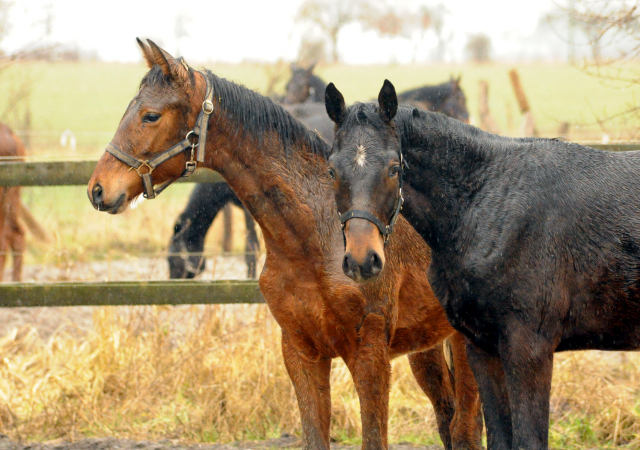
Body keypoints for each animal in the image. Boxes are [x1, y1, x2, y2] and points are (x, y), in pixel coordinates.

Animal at [87, 39, 482, 450]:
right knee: (447, 418)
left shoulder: (369, 357)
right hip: (426, 347)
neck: (314, 237)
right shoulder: (300, 353)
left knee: (466, 427)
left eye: (150, 115)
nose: (98, 189)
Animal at [328, 79, 640, 448]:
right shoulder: (482, 348)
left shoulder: (529, 350)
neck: (488, 203)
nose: (362, 259)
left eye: (394, 168)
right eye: (332, 170)